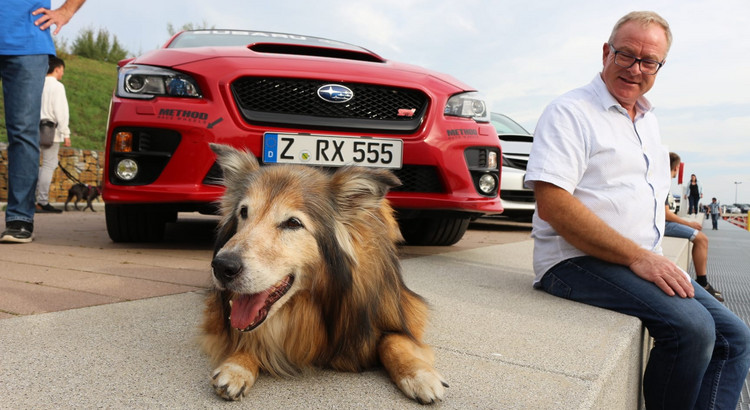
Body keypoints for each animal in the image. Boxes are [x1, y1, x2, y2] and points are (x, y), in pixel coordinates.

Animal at [200, 144, 446, 404]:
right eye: (244, 212)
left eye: (293, 223)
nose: (222, 266)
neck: (311, 302)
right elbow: (249, 335)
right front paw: (237, 366)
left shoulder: (401, 312)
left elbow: (393, 341)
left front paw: (419, 374)